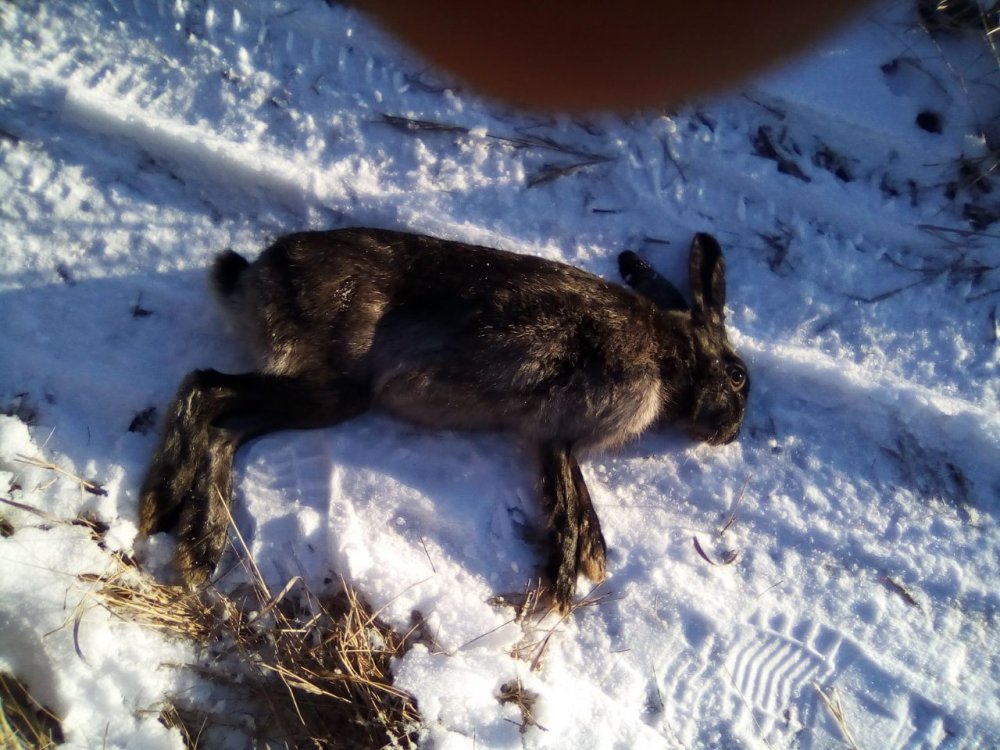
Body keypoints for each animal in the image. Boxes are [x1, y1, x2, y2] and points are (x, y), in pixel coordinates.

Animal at [138, 228, 749, 612]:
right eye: (739, 376)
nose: (730, 434)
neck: (673, 355)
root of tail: (251, 278)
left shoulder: (555, 438)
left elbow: (572, 497)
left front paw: (590, 561)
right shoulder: (560, 432)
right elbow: (568, 503)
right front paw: (563, 587)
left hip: (322, 396)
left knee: (222, 417)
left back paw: (179, 524)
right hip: (334, 386)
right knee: (209, 393)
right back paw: (177, 523)